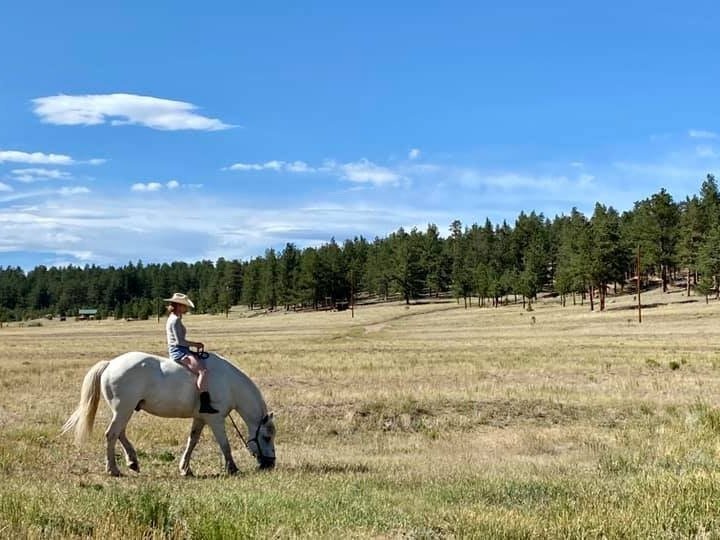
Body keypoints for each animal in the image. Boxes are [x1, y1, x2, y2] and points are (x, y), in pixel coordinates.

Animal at [62, 352, 276, 474]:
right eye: (266, 437)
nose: (270, 464)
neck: (228, 383)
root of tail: (110, 363)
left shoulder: (200, 418)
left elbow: (192, 441)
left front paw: (185, 469)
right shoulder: (215, 420)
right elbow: (225, 445)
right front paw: (232, 468)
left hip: (124, 410)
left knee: (119, 433)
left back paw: (132, 462)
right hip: (123, 410)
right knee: (111, 434)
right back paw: (113, 469)